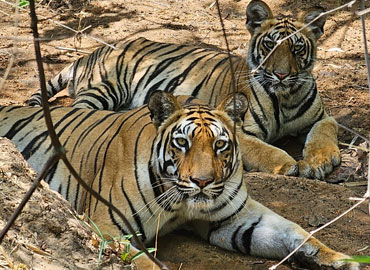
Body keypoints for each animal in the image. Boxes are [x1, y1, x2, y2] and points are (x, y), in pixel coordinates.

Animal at [0, 92, 358, 268]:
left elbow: (297, 233)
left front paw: (343, 260)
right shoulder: (108, 228)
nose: (202, 182)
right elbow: (144, 264)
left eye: (220, 145)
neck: (182, 203)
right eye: (182, 143)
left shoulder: (237, 218)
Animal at [25, 0, 342, 181]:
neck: (286, 97)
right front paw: (289, 164)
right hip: (106, 88)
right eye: (269, 45)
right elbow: (264, 149)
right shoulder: (238, 129)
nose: (281, 74)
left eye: (296, 48)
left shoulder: (323, 117)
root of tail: (93, 52)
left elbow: (324, 133)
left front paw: (321, 161)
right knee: (78, 111)